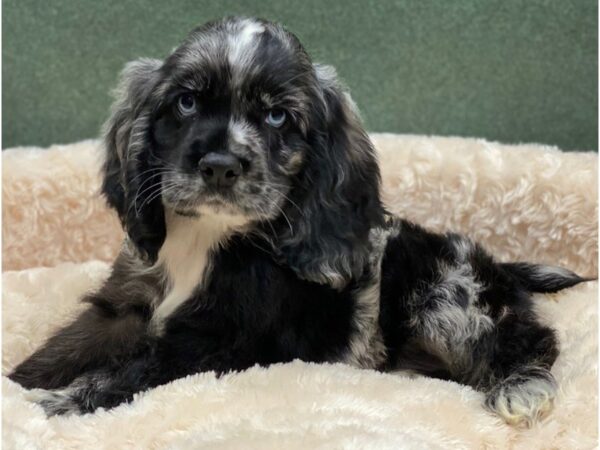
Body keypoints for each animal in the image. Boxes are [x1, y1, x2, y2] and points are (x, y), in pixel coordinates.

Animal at [9, 16, 588, 426]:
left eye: (276, 116)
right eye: (187, 102)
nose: (220, 166)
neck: (205, 238)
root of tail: (504, 270)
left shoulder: (216, 341)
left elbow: (132, 371)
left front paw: (58, 406)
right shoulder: (125, 305)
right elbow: (66, 347)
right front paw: (19, 385)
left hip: (447, 296)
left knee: (534, 341)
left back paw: (520, 389)